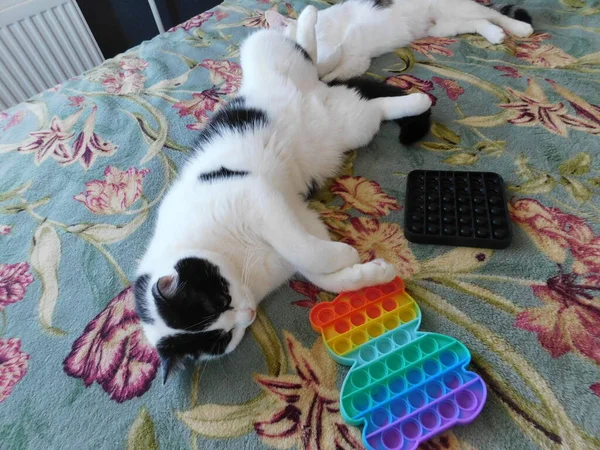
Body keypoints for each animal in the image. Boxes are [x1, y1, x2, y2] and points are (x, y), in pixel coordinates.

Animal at [132, 5, 432, 382]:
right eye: (224, 337)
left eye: (220, 301)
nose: (247, 314)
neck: (238, 261)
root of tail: (316, 94)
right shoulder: (300, 221)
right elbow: (317, 267)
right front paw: (366, 272)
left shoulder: (256, 197)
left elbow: (306, 250)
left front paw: (347, 255)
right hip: (352, 125)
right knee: (365, 103)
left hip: (261, 51)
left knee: (302, 53)